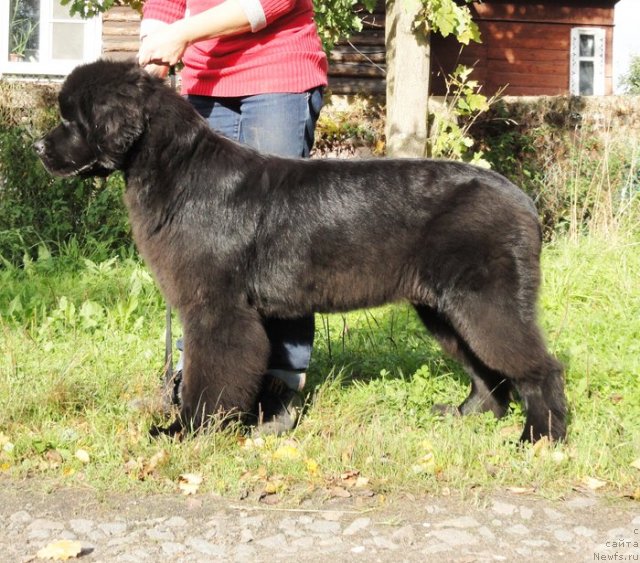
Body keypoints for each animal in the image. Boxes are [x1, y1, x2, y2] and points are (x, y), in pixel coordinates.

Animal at [36, 59, 564, 442]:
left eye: (71, 120)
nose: (39, 147)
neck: (179, 171)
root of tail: (522, 199)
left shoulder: (217, 307)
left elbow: (210, 374)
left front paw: (188, 430)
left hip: (486, 302)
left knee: (539, 367)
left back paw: (540, 438)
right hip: (445, 308)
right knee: (485, 369)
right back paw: (467, 414)